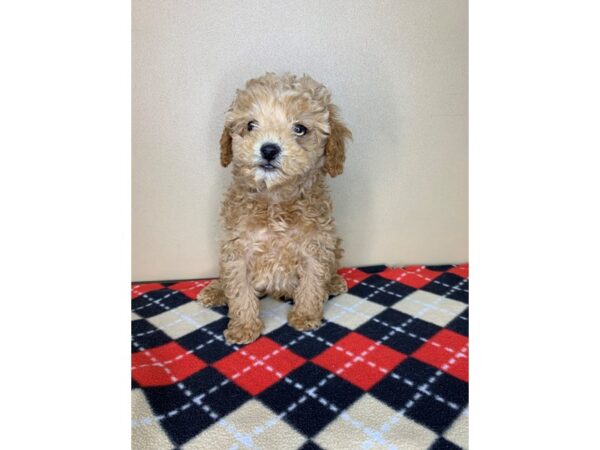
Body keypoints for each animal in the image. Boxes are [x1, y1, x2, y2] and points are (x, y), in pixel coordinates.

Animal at [197, 72, 352, 342]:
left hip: (335, 243)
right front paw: (244, 327)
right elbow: (239, 290)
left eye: (300, 129)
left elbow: (312, 282)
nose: (269, 149)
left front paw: (305, 316)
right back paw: (216, 290)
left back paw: (332, 283)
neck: (275, 200)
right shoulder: (236, 249)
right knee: (226, 280)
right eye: (250, 125)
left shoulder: (316, 246)